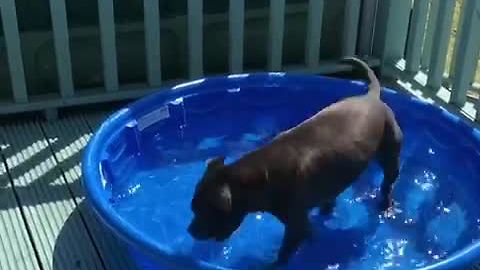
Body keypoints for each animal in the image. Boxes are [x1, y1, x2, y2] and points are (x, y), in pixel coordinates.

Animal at [187, 57, 402, 266]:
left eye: (204, 211)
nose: (190, 230)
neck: (260, 174)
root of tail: (371, 97)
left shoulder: (296, 226)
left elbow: (284, 253)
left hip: (390, 156)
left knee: (387, 184)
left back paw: (386, 205)